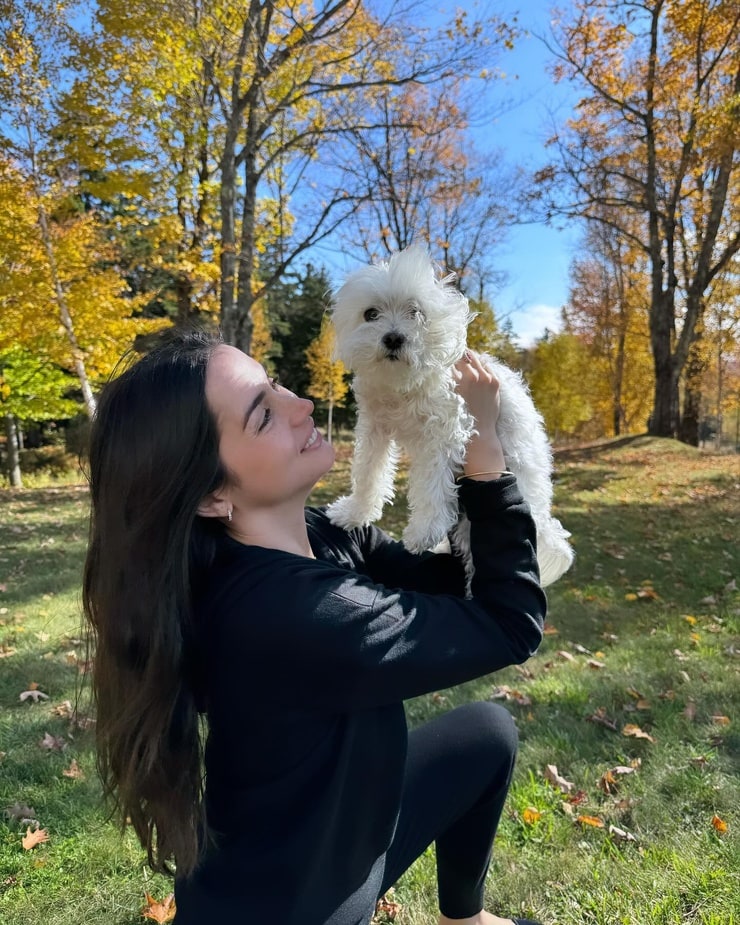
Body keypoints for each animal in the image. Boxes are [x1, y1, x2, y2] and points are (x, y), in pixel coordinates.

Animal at [326, 245, 576, 588]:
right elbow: (368, 475)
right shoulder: (375, 428)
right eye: (371, 314)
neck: (403, 386)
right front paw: (353, 512)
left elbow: (431, 484)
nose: (393, 338)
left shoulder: (445, 431)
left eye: (416, 312)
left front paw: (423, 531)